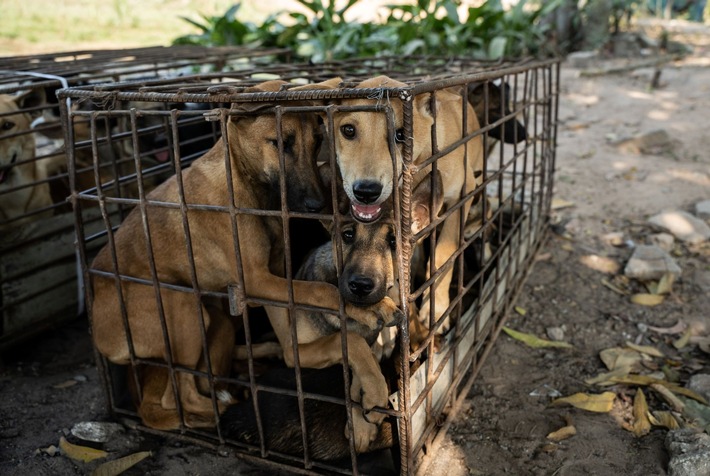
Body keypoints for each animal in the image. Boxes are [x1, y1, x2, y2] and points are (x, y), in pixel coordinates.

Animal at [89, 80, 400, 436]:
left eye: (318, 141)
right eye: (280, 143)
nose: (318, 205)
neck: (243, 182)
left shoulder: (275, 279)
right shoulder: (255, 279)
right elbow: (322, 290)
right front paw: (369, 310)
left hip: (219, 323)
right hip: (183, 309)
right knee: (181, 393)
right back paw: (223, 410)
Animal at [314, 76, 486, 334]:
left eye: (402, 135)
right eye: (348, 130)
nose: (366, 192)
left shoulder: (462, 196)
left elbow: (443, 254)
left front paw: (437, 308)